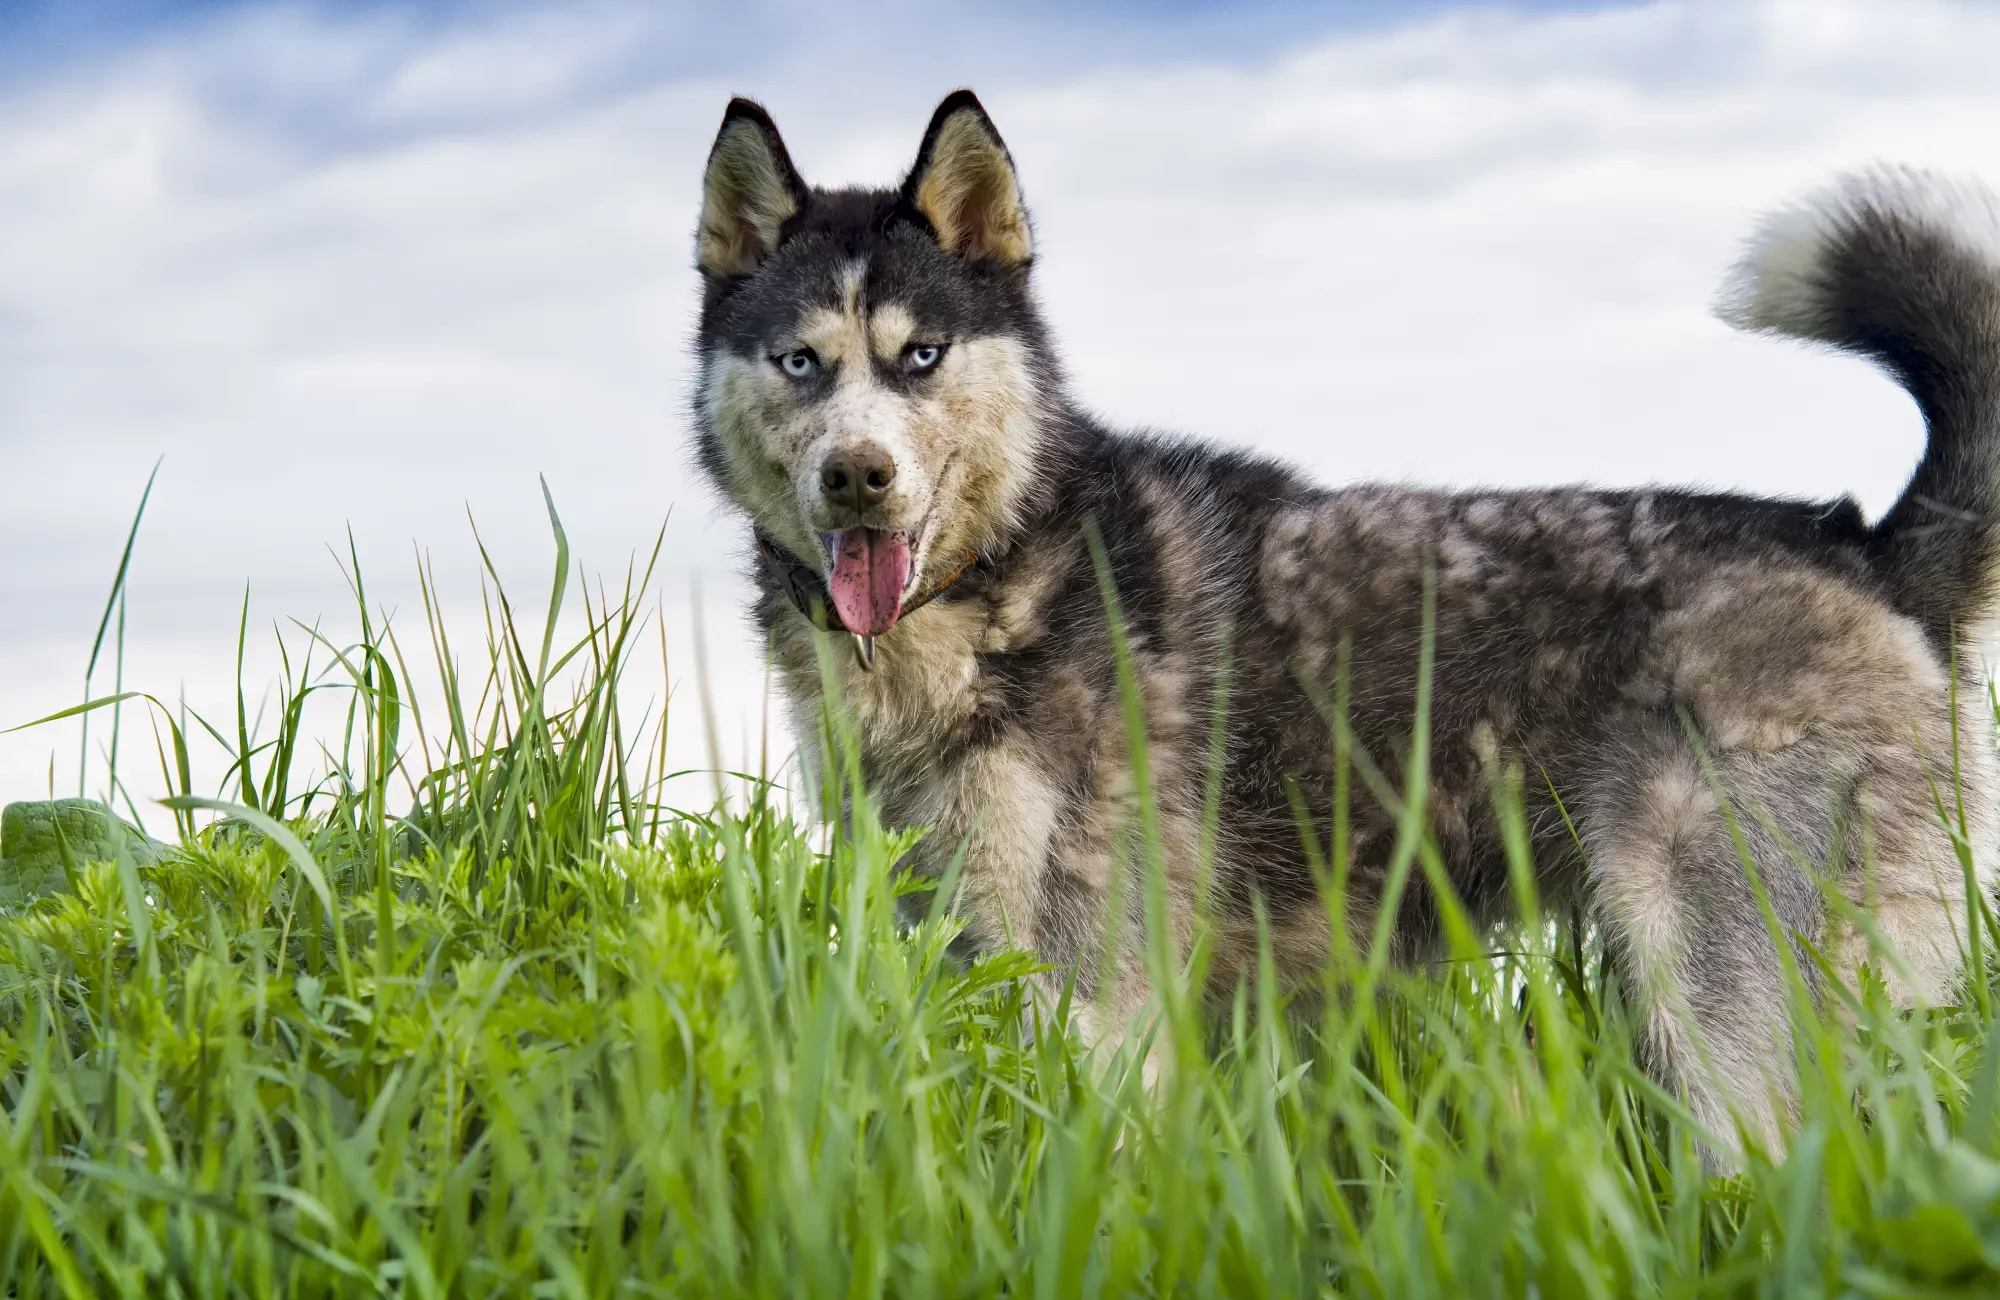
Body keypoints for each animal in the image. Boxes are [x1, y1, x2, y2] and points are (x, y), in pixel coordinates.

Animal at [692, 86, 2000, 1152]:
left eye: (919, 355)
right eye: (800, 362)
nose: (857, 477)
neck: (997, 578)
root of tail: (1861, 547)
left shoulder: (1090, 993)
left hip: (1718, 1004)